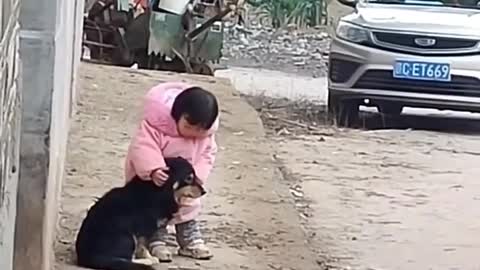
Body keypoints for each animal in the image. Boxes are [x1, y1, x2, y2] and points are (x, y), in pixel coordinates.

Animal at [75, 156, 204, 270]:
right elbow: (143, 246)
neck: (160, 190)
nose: (204, 191)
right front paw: (149, 258)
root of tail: (87, 256)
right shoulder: (144, 228)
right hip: (127, 237)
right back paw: (146, 262)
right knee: (125, 260)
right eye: (189, 178)